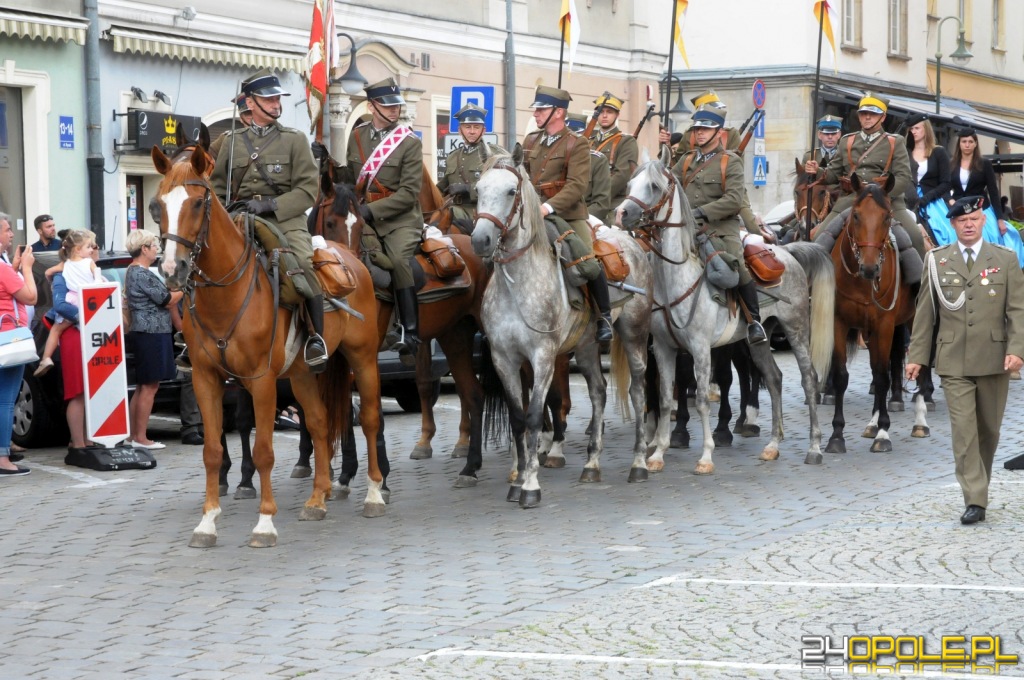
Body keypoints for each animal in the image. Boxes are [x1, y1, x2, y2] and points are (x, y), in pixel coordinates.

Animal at [153, 144, 385, 548]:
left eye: (197, 203)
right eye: (159, 205)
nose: (172, 268)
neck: (227, 293)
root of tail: (349, 256)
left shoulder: (261, 381)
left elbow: (263, 451)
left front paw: (264, 523)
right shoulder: (205, 379)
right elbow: (212, 451)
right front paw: (207, 522)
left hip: (363, 359)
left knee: (369, 419)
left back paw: (373, 493)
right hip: (303, 374)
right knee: (319, 423)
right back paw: (317, 499)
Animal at [309, 175, 489, 483]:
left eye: (360, 225)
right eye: (330, 222)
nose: (351, 275)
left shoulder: (367, 354)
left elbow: (373, 412)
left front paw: (380, 474)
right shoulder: (338, 357)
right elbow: (343, 411)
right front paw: (346, 473)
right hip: (455, 336)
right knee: (474, 395)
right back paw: (471, 466)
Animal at [468, 150, 647, 510]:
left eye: (511, 191)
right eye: (478, 189)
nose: (480, 240)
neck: (517, 285)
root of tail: (629, 241)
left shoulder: (544, 357)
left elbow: (536, 415)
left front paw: (530, 486)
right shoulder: (504, 359)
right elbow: (518, 418)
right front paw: (518, 481)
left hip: (633, 334)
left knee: (637, 388)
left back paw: (639, 463)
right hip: (588, 345)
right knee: (598, 391)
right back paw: (592, 464)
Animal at [618, 155, 835, 473]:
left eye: (654, 187)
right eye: (631, 183)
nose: (621, 213)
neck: (675, 277)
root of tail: (789, 252)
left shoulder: (700, 348)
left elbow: (700, 401)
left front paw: (706, 456)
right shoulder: (663, 348)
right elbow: (666, 397)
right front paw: (657, 454)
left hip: (796, 329)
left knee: (808, 378)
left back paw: (815, 447)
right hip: (759, 339)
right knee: (774, 378)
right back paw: (773, 445)